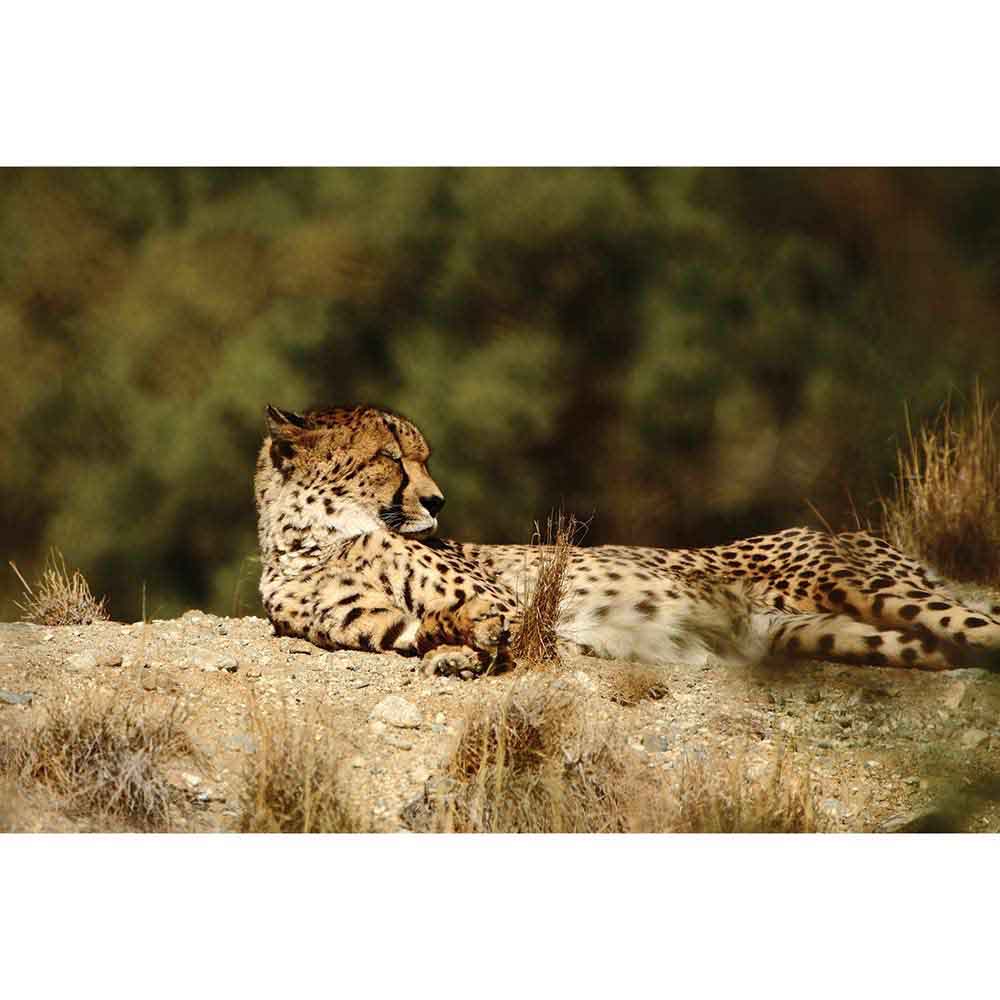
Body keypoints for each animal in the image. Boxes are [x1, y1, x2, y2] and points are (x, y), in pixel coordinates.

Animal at [255, 403, 1000, 677]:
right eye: (389, 458)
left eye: (423, 458)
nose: (437, 501)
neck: (316, 540)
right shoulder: (381, 625)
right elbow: (428, 627)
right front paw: (454, 654)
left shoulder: (511, 601)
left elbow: (493, 619)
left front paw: (473, 649)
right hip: (830, 635)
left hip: (859, 585)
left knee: (976, 621)